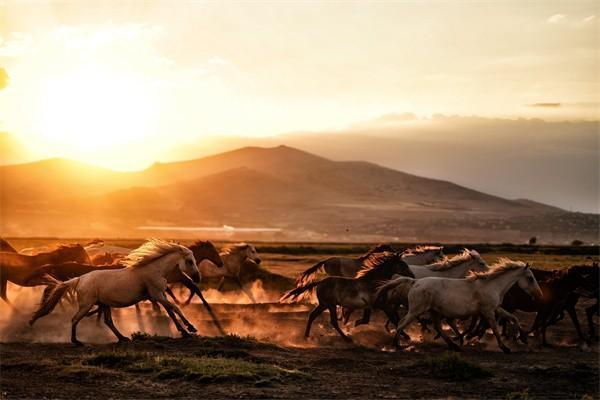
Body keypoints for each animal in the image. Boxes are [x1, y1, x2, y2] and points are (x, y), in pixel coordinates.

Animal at [29, 239, 199, 346]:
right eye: (190, 261)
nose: (197, 278)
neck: (155, 270)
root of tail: (79, 279)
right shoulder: (157, 295)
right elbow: (175, 308)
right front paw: (191, 328)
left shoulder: (160, 295)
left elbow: (171, 311)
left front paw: (185, 332)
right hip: (86, 305)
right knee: (75, 319)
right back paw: (76, 342)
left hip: (104, 304)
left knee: (108, 321)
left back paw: (122, 338)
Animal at [280, 253, 412, 340]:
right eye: (402, 264)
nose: (412, 275)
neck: (373, 282)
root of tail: (320, 282)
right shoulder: (381, 305)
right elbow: (393, 319)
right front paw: (406, 336)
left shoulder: (371, 306)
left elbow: (373, 319)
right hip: (330, 305)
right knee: (332, 321)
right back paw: (346, 338)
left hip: (323, 305)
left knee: (312, 315)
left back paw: (306, 335)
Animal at [384, 258, 544, 352]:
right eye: (530, 278)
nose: (539, 295)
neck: (492, 286)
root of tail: (415, 282)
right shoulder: (488, 311)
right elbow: (494, 328)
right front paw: (504, 347)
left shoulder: (496, 308)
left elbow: (513, 318)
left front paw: (523, 338)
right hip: (416, 310)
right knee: (401, 323)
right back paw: (396, 345)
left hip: (433, 311)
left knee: (438, 327)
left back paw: (454, 345)